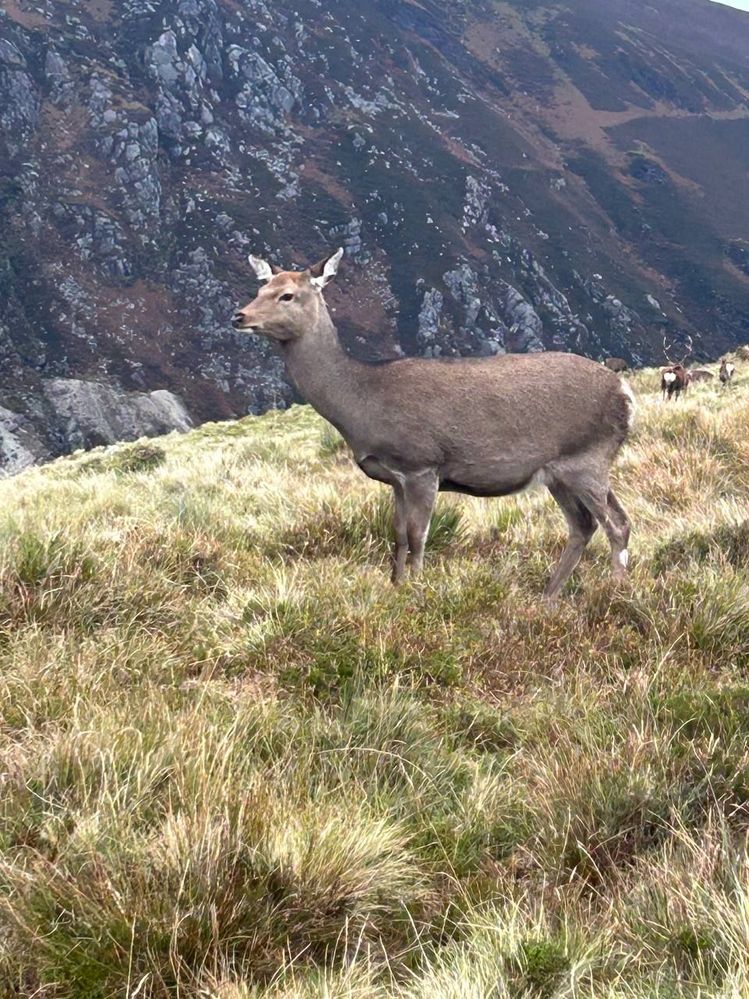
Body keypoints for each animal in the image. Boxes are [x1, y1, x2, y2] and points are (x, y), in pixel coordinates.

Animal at [231, 254, 636, 604]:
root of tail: (624, 393)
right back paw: (548, 597)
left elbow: (418, 535)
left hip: (587, 458)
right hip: (561, 471)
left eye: (287, 294)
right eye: (260, 287)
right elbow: (396, 533)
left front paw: (418, 590)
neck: (362, 402)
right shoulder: (394, 478)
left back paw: (616, 593)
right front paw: (395, 586)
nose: (239, 315)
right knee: (585, 525)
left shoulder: (422, 464)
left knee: (616, 524)